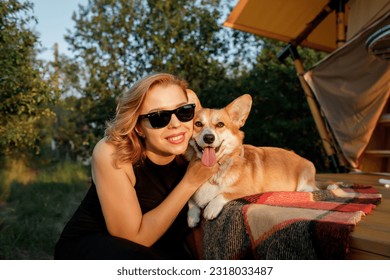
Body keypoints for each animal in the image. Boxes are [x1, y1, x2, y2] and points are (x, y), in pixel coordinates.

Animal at [185, 93, 316, 229]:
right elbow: (190, 199)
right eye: (198, 124)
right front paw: (192, 216)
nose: (209, 138)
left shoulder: (250, 191)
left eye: (220, 124)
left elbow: (224, 193)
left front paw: (210, 209)